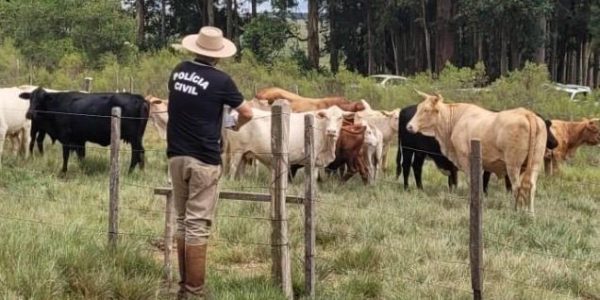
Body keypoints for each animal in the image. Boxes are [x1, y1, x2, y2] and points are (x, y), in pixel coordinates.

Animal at [19, 88, 150, 172]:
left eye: (41, 100)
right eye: (30, 99)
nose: (29, 113)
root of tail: (139, 98)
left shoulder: (66, 136)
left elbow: (66, 155)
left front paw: (63, 171)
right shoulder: (79, 139)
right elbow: (81, 156)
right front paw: (82, 169)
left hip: (133, 137)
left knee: (136, 152)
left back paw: (130, 171)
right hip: (138, 137)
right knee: (142, 152)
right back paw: (141, 171)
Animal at [221, 104, 352, 178]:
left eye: (340, 117)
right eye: (326, 117)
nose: (331, 131)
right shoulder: (312, 159)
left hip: (245, 153)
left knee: (240, 171)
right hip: (237, 151)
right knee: (232, 168)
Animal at [406, 90, 548, 214]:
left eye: (426, 110)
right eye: (418, 108)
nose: (409, 126)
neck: (455, 120)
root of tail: (527, 113)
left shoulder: (465, 159)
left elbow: (472, 181)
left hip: (513, 165)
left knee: (517, 186)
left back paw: (517, 211)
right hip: (535, 163)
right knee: (531, 186)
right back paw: (530, 212)